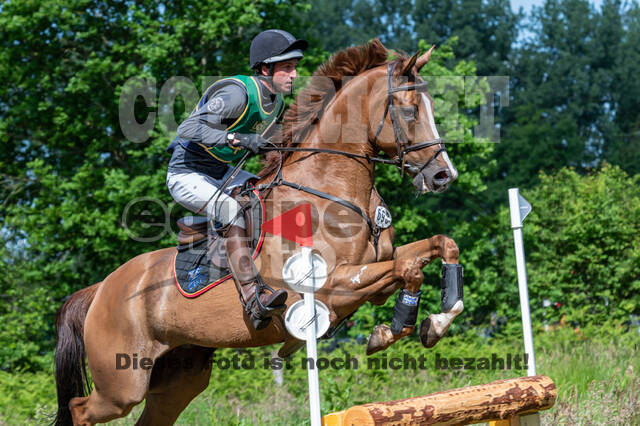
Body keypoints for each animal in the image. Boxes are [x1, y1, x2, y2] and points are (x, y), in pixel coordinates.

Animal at [53, 39, 464, 426]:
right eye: (409, 110)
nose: (443, 176)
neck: (332, 191)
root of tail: (99, 290)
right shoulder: (331, 286)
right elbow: (408, 270)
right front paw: (397, 330)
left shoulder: (376, 270)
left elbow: (439, 248)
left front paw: (430, 324)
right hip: (122, 382)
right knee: (80, 409)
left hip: (179, 376)